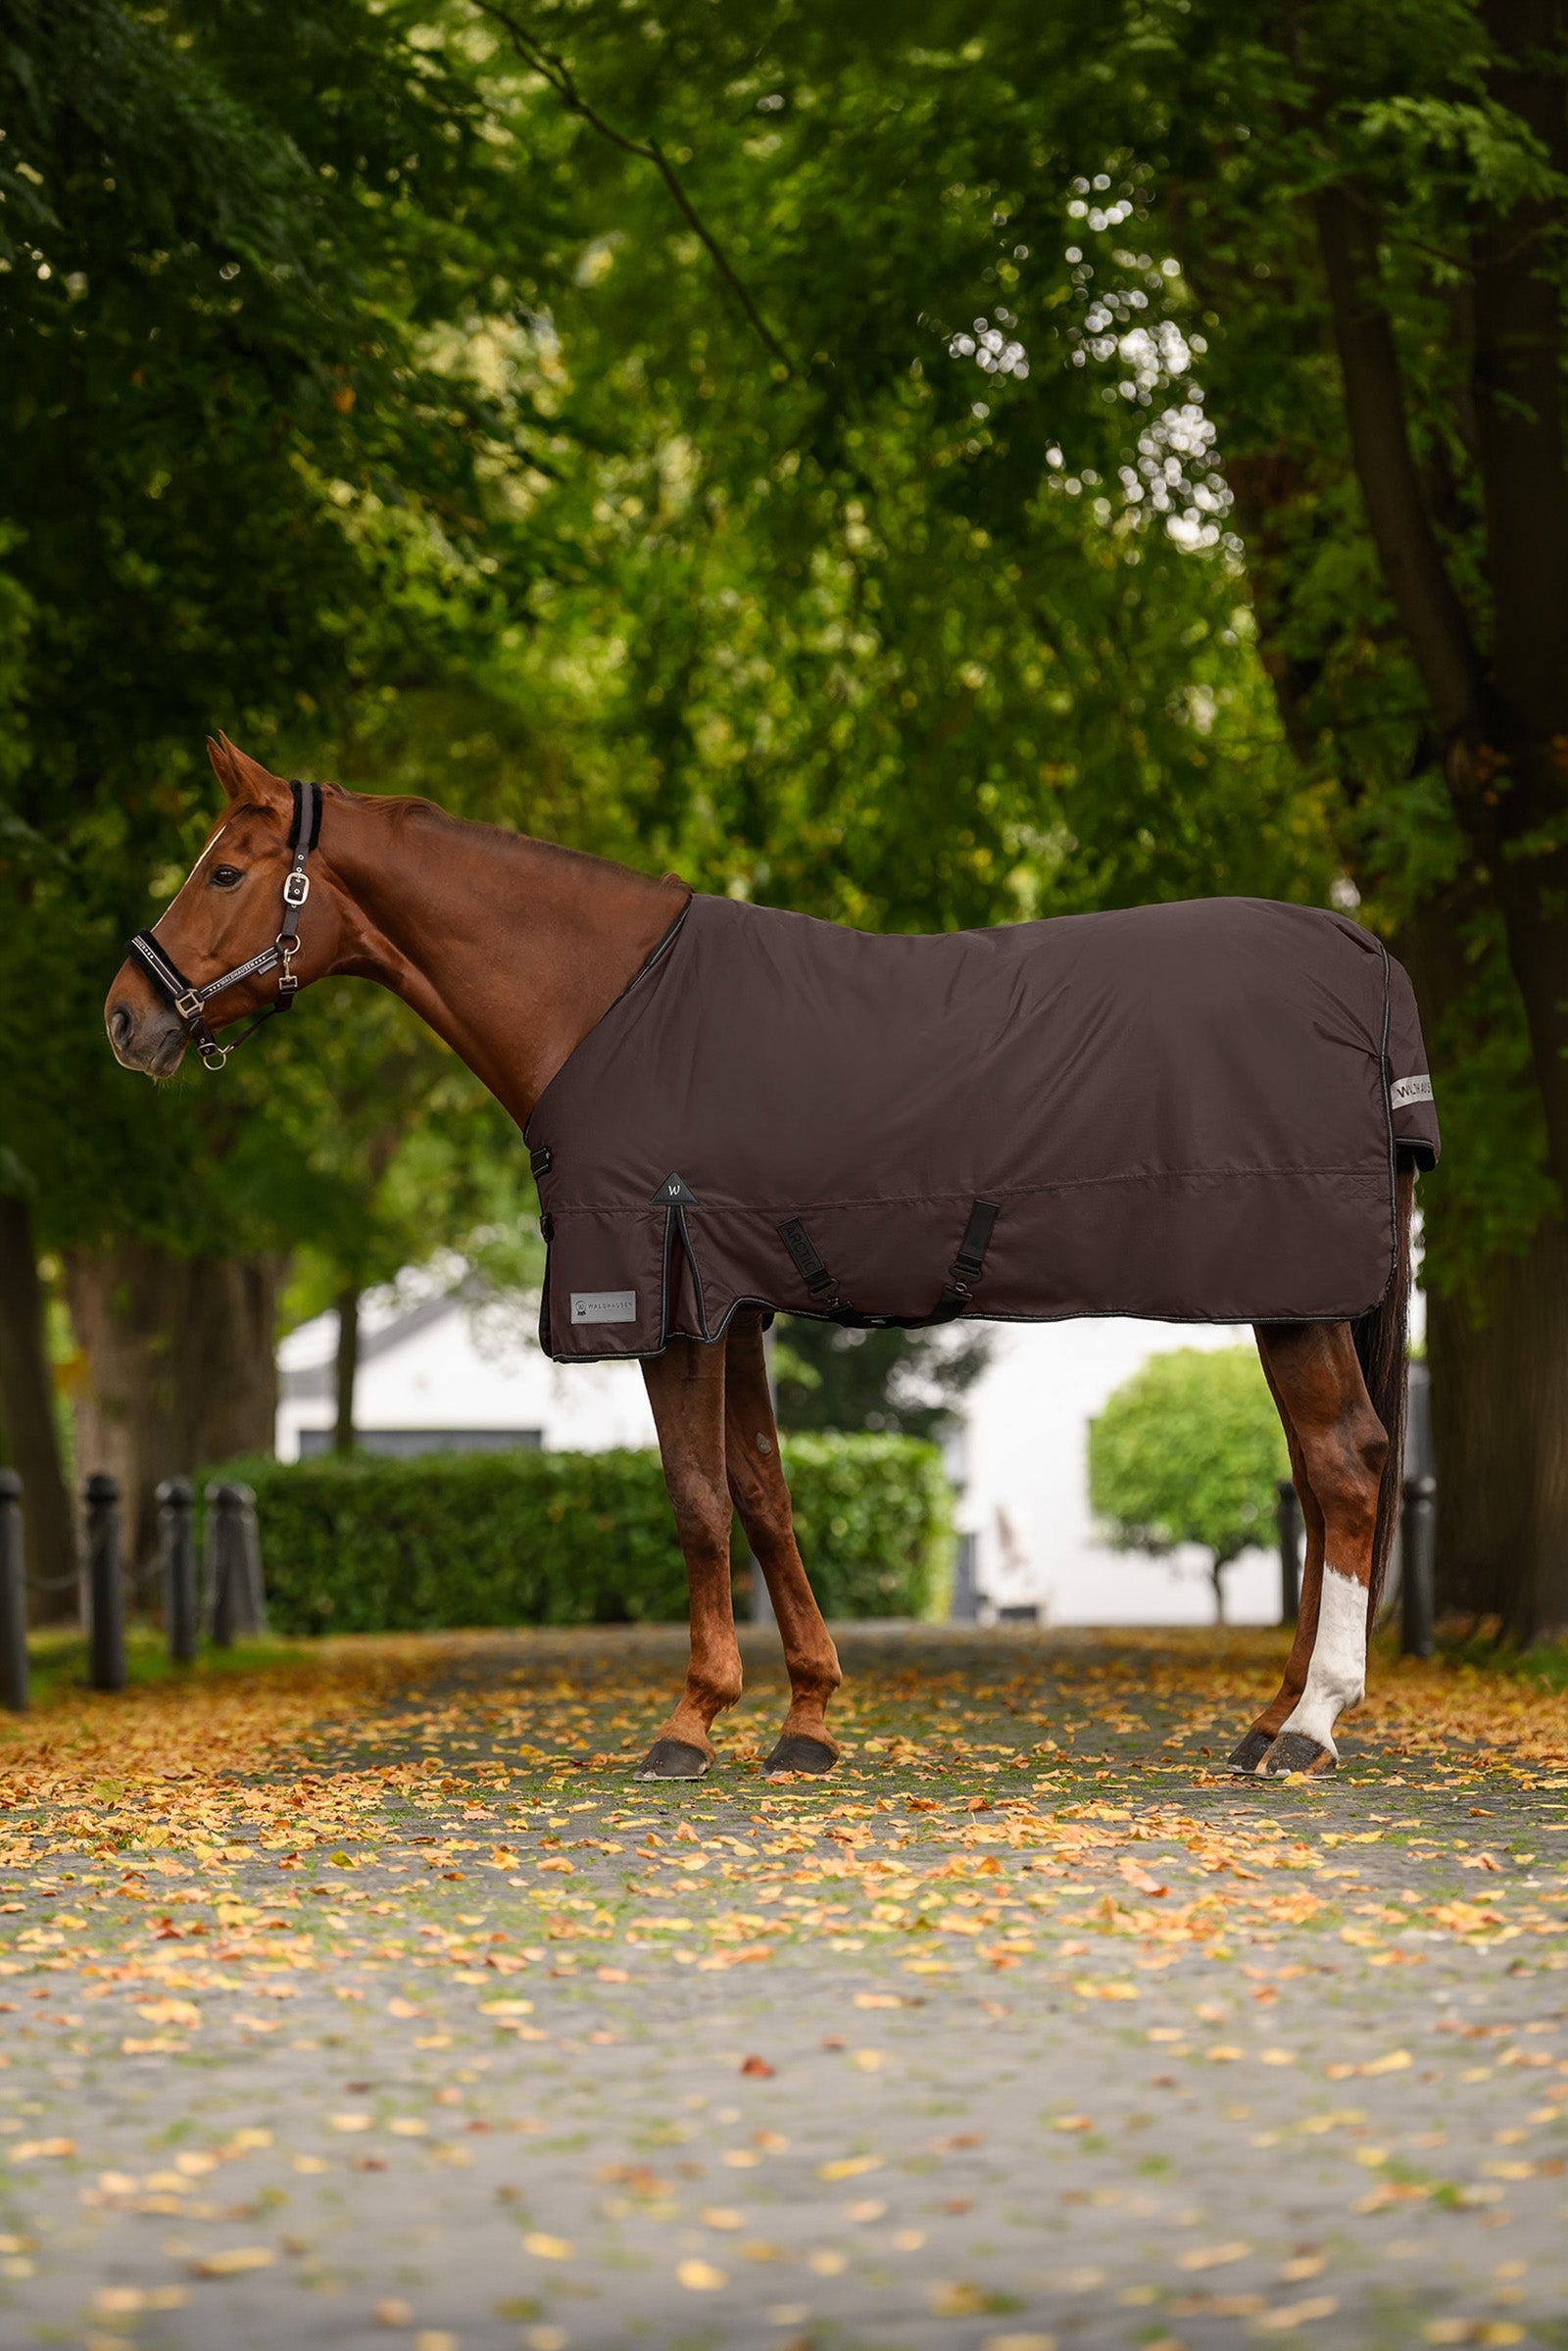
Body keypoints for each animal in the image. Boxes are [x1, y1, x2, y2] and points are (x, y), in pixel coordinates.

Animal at [106, 736, 1427, 1782]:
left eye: (224, 869)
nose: (128, 1015)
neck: (602, 1005)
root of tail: (1362, 954)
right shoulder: (731, 1302)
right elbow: (763, 1495)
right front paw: (806, 1719)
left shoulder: (660, 1293)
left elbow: (696, 1503)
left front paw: (689, 1724)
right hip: (1293, 1299)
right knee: (1319, 1483)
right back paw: (1266, 1720)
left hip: (1291, 1295)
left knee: (1346, 1470)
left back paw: (1309, 1725)